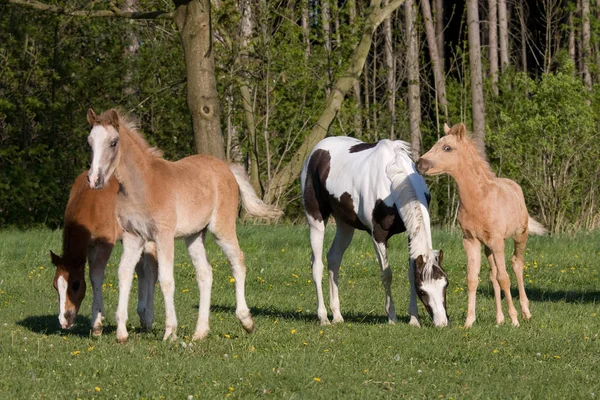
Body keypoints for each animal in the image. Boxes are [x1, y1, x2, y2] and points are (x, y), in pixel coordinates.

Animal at [49, 172, 157, 334]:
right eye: (55, 285)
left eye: (75, 285)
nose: (64, 321)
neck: (91, 203)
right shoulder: (90, 246)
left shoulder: (105, 243)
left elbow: (96, 276)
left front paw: (97, 325)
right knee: (140, 269)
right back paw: (143, 316)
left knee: (151, 271)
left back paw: (149, 319)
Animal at [85, 108, 284, 342]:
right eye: (90, 142)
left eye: (113, 142)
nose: (94, 180)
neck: (141, 187)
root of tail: (226, 168)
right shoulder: (133, 237)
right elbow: (124, 274)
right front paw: (122, 333)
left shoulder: (164, 235)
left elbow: (166, 280)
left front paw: (170, 332)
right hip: (194, 235)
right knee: (205, 273)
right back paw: (200, 332)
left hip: (221, 229)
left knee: (238, 261)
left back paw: (247, 322)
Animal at [302, 136, 448, 326]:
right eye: (422, 291)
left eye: (445, 285)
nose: (442, 323)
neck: (394, 178)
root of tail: (316, 150)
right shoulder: (378, 236)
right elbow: (386, 275)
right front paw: (392, 317)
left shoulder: (410, 234)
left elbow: (411, 271)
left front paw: (414, 319)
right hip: (316, 220)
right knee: (317, 265)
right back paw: (324, 317)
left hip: (345, 225)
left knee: (334, 259)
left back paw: (337, 315)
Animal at [414, 124, 548, 328]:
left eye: (447, 148)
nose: (419, 164)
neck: (479, 199)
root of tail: (515, 186)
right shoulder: (471, 241)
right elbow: (473, 279)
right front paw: (469, 322)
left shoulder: (498, 242)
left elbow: (505, 278)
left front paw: (514, 319)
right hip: (488, 247)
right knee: (493, 274)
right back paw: (499, 319)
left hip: (520, 235)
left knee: (516, 265)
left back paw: (525, 312)